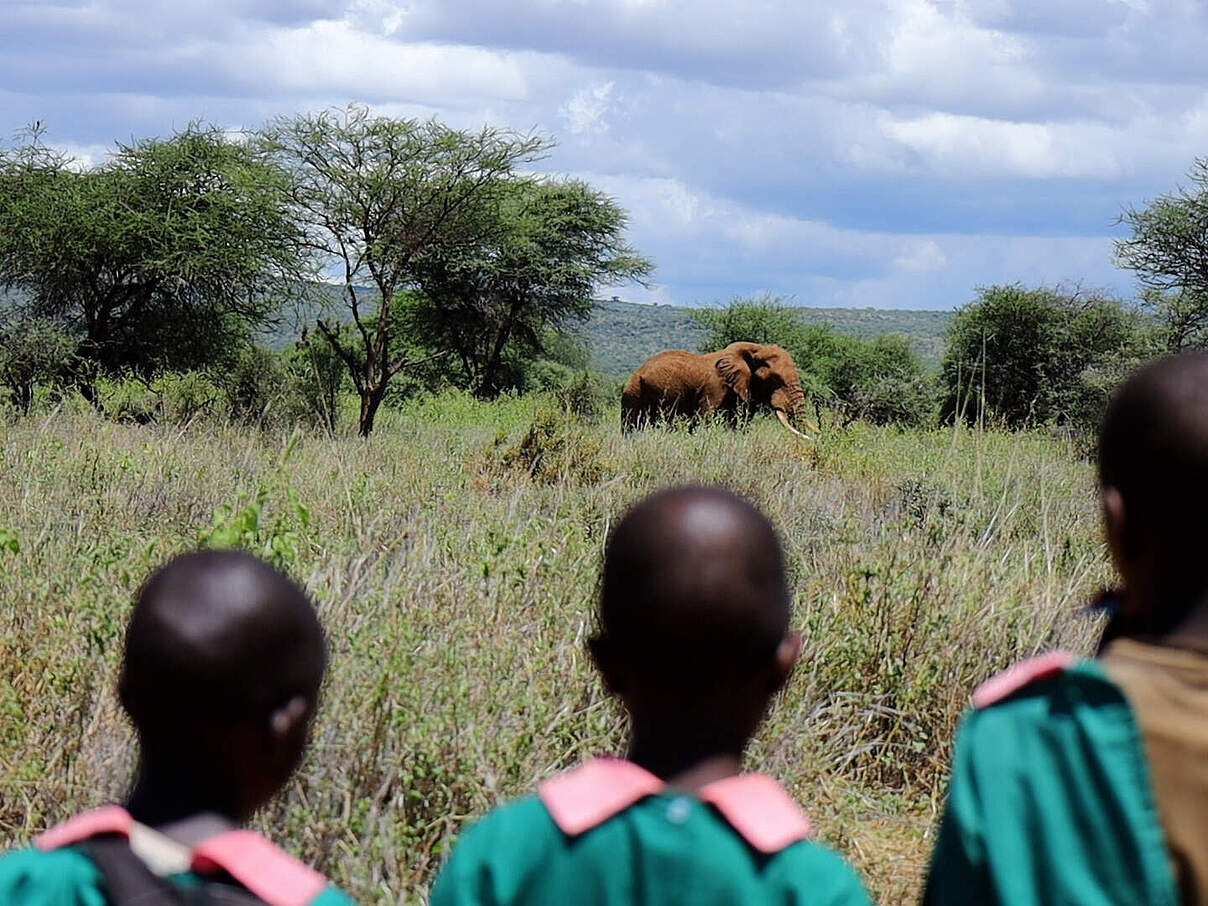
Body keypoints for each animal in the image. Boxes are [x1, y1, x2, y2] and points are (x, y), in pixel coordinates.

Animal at [621, 341, 816, 439]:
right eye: (775, 379)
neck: (754, 350)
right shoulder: (713, 389)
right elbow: (705, 422)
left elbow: (741, 424)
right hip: (633, 392)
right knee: (631, 426)